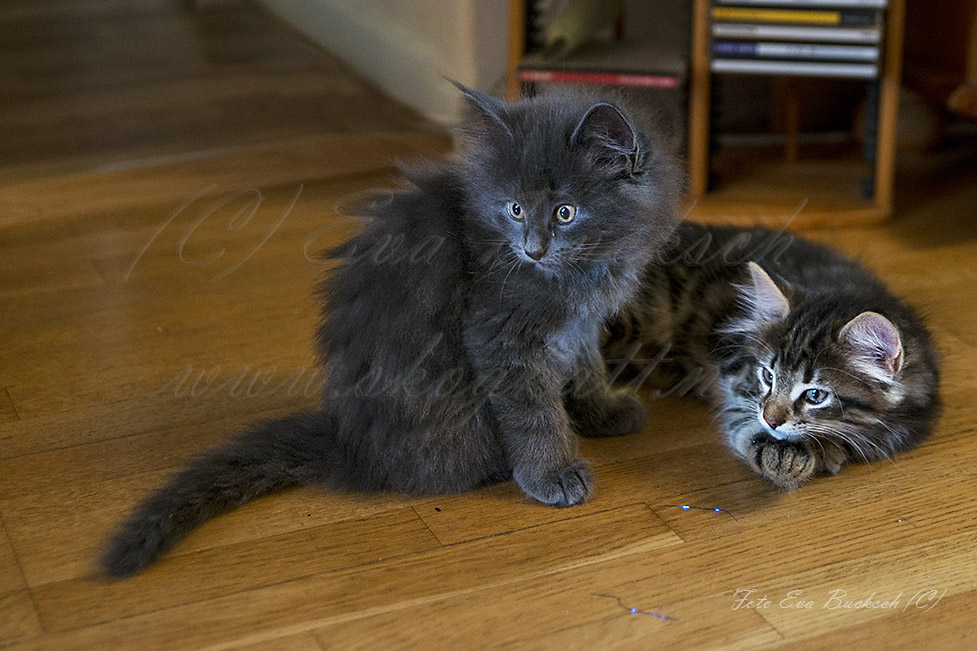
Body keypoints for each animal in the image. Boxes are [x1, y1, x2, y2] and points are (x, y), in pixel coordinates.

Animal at [99, 84, 680, 580]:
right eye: (514, 209)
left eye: (565, 212)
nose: (532, 249)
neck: (580, 273)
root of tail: (349, 446)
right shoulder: (498, 331)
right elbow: (533, 410)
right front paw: (551, 472)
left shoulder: (578, 326)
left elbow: (586, 369)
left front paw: (605, 412)